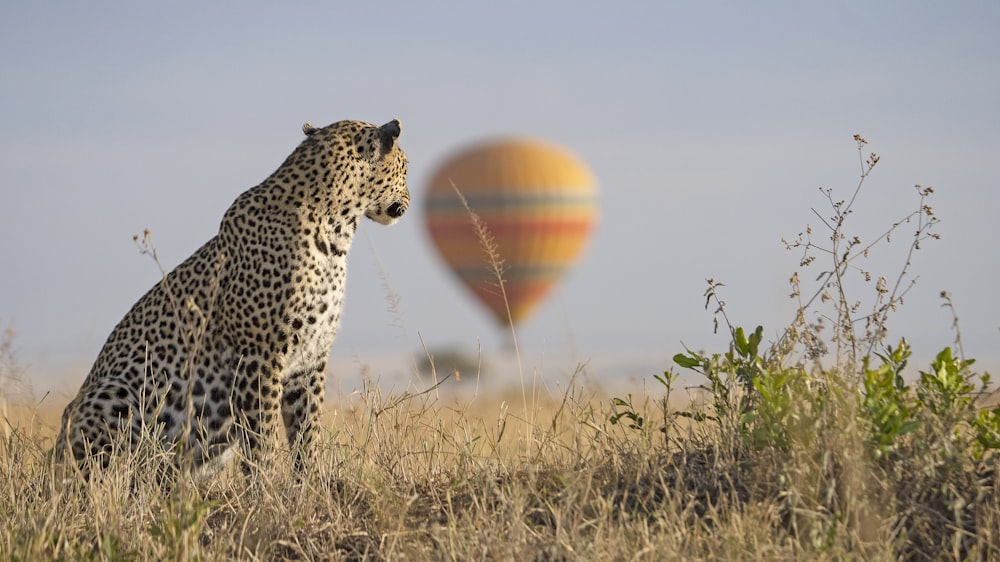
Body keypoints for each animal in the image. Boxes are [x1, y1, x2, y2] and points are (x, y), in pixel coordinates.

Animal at [55, 118, 410, 476]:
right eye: (405, 167)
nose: (408, 198)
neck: (336, 232)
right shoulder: (259, 356)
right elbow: (262, 435)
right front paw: (266, 484)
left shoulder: (310, 360)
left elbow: (306, 431)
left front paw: (309, 480)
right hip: (114, 394)